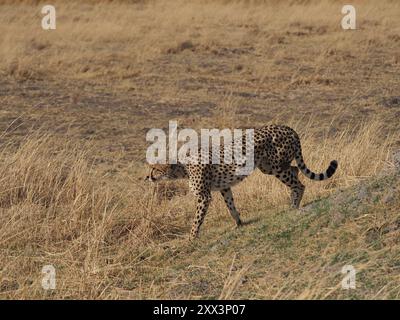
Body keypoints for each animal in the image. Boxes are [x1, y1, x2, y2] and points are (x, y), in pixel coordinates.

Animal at [147, 124, 338, 240]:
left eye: (155, 169)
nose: (147, 177)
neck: (183, 168)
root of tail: (287, 127)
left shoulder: (204, 196)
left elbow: (197, 219)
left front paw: (191, 237)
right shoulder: (224, 187)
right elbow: (231, 206)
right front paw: (238, 223)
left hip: (276, 167)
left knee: (299, 183)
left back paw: (294, 205)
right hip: (269, 167)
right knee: (295, 170)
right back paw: (293, 201)